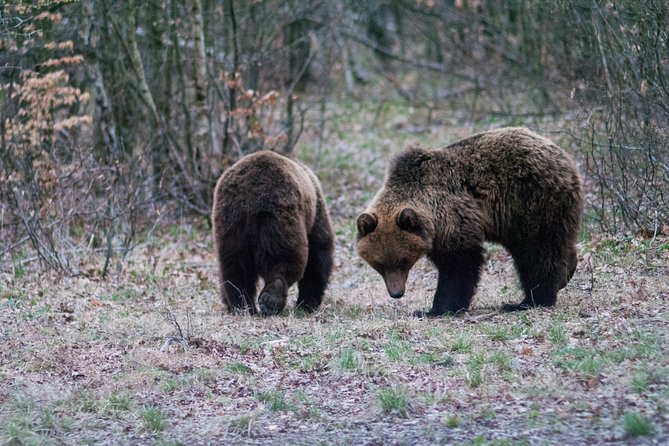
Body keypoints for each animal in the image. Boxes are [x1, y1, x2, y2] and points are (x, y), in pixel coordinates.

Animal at [212, 150, 334, 316]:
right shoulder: (316, 215)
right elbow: (318, 255)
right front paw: (308, 303)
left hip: (231, 222)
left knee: (235, 265)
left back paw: (243, 306)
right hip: (281, 216)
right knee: (287, 258)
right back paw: (272, 297)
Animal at [356, 127, 583, 317]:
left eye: (403, 261)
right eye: (379, 264)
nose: (396, 293)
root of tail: (563, 156)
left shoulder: (453, 218)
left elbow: (459, 264)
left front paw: (437, 309)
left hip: (531, 201)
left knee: (537, 250)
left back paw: (529, 300)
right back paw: (565, 273)